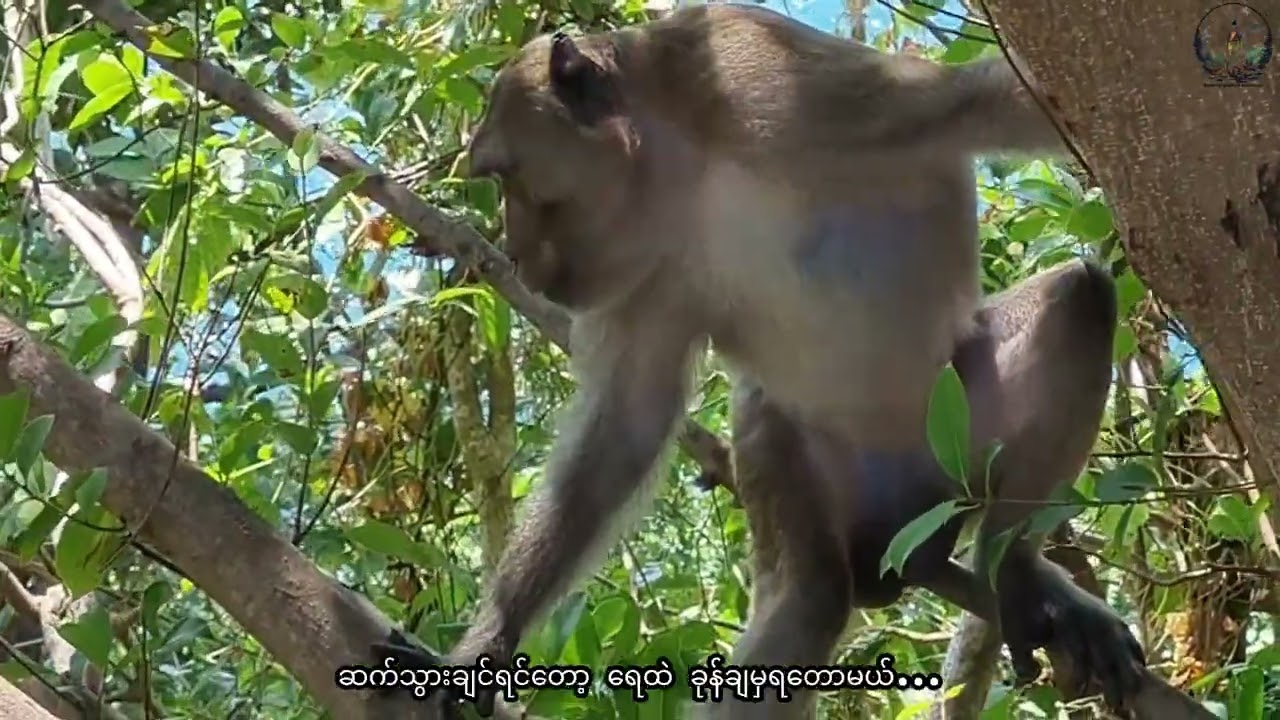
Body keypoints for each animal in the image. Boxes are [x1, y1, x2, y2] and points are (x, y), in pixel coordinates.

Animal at [371, 3, 1155, 717]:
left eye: (507, 176)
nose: (518, 254)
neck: (686, 160)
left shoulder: (792, 84)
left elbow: (989, 103)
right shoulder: (645, 275)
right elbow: (624, 427)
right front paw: (487, 644)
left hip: (955, 435)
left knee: (1078, 299)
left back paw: (1014, 567)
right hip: (801, 455)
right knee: (810, 593)